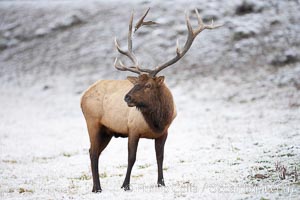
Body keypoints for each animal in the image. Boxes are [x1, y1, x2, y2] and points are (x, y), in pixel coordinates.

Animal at [79, 7, 220, 192]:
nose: (127, 97)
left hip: (107, 131)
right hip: (93, 122)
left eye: (148, 85)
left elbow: (160, 157)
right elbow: (131, 158)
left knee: (92, 151)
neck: (157, 121)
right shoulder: (132, 129)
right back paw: (97, 188)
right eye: (136, 82)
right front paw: (125, 185)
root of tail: (83, 96)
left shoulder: (164, 133)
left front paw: (161, 182)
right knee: (93, 152)